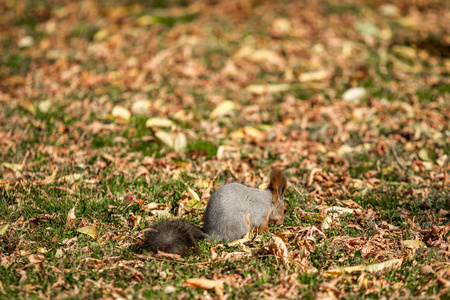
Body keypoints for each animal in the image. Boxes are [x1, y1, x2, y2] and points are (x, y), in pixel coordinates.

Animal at [140, 170, 288, 256]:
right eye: (285, 210)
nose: (281, 223)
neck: (269, 201)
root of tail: (214, 235)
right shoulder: (260, 212)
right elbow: (261, 225)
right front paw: (270, 233)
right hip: (240, 223)